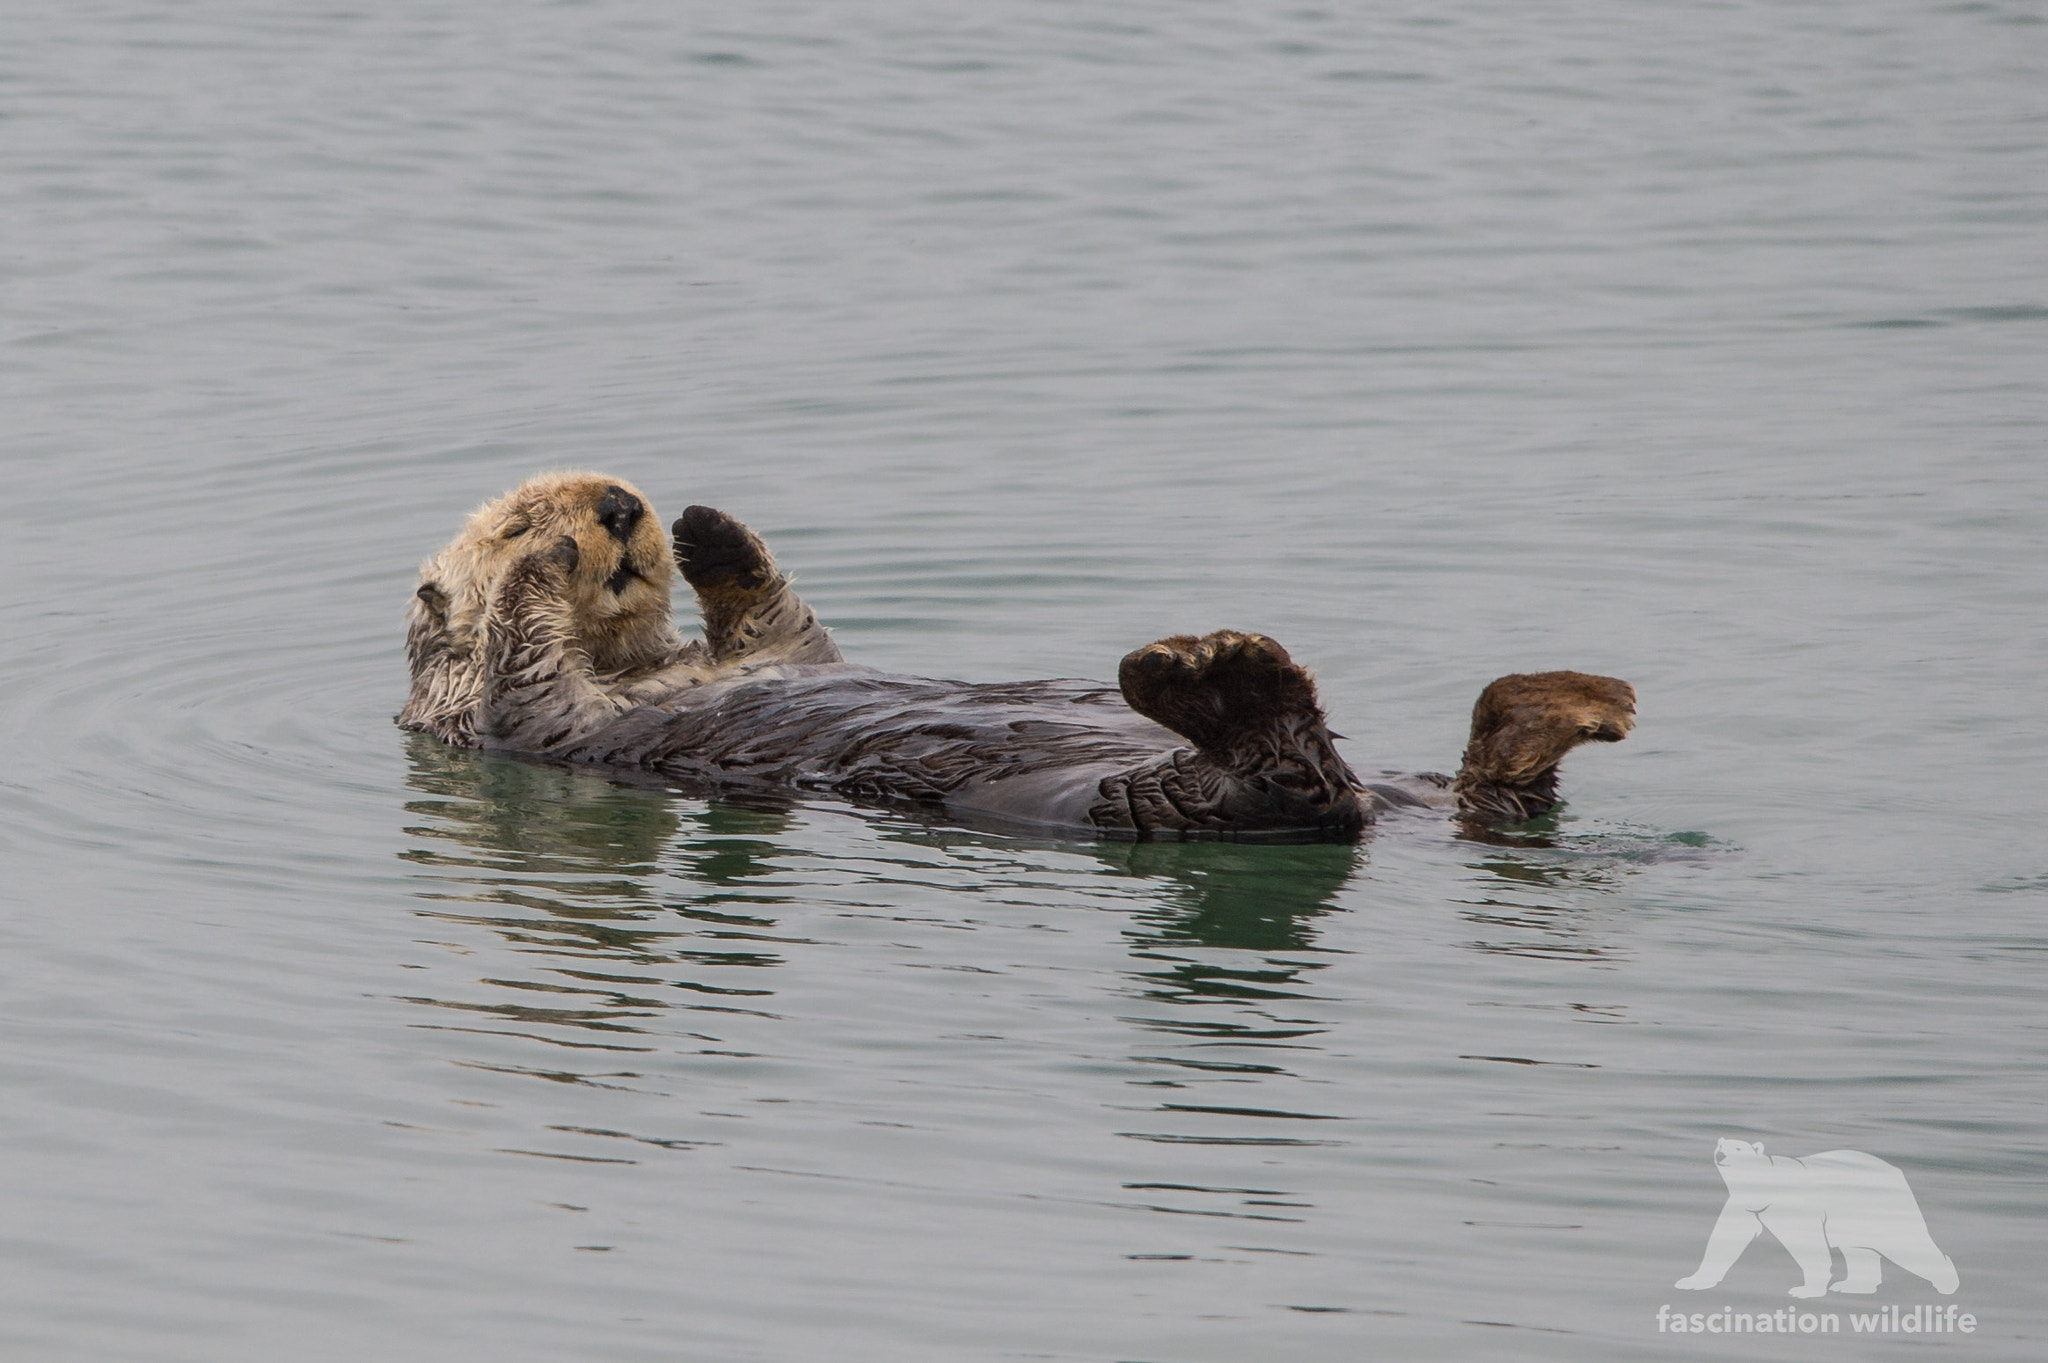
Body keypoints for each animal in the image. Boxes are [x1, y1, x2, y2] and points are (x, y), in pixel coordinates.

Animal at [402, 473, 1636, 839]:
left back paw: (1567, 704)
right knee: (1287, 781)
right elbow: (520, 650)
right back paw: (1213, 671)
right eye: (512, 516)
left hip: (1430, 784)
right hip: (1174, 798)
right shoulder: (520, 720)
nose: (618, 507)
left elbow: (776, 613)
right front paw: (548, 556)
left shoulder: (779, 645)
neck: (640, 667)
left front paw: (708, 525)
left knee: (1492, 783)